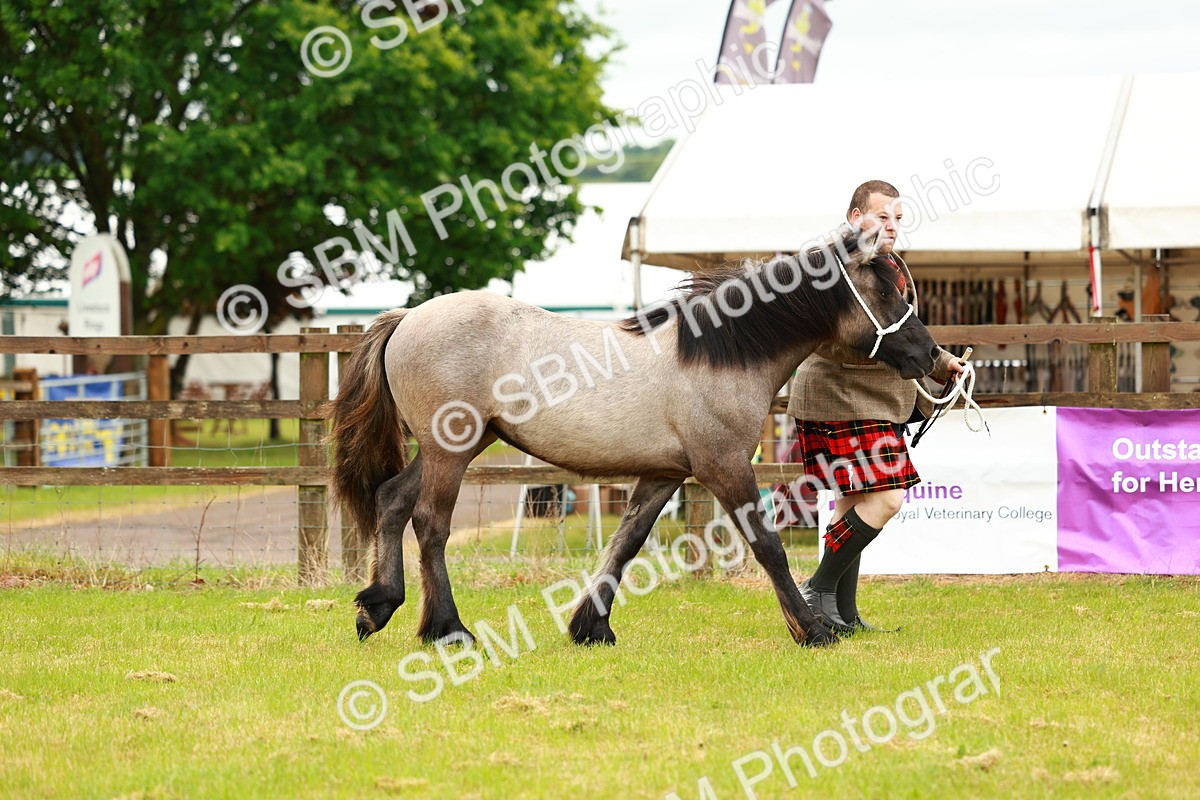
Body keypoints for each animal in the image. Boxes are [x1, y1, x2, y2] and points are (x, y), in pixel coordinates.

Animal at [329, 224, 939, 649]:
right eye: (887, 293)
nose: (930, 354)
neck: (719, 354)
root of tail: (407, 318)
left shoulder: (665, 473)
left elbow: (627, 542)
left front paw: (590, 627)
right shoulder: (724, 467)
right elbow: (766, 545)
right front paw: (812, 630)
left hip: (457, 446)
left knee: (391, 500)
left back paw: (377, 607)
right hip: (450, 450)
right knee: (430, 524)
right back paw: (448, 630)